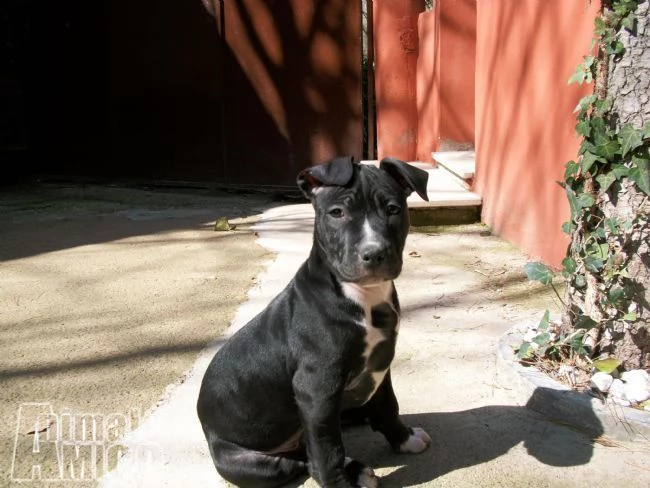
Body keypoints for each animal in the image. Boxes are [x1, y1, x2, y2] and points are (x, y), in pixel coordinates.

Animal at [197, 158, 430, 486]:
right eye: (337, 213)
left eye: (393, 209)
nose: (373, 254)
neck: (361, 296)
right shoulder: (316, 388)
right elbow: (326, 451)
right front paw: (339, 481)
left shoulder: (381, 364)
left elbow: (387, 405)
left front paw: (404, 438)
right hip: (251, 462)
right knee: (302, 459)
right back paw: (354, 469)